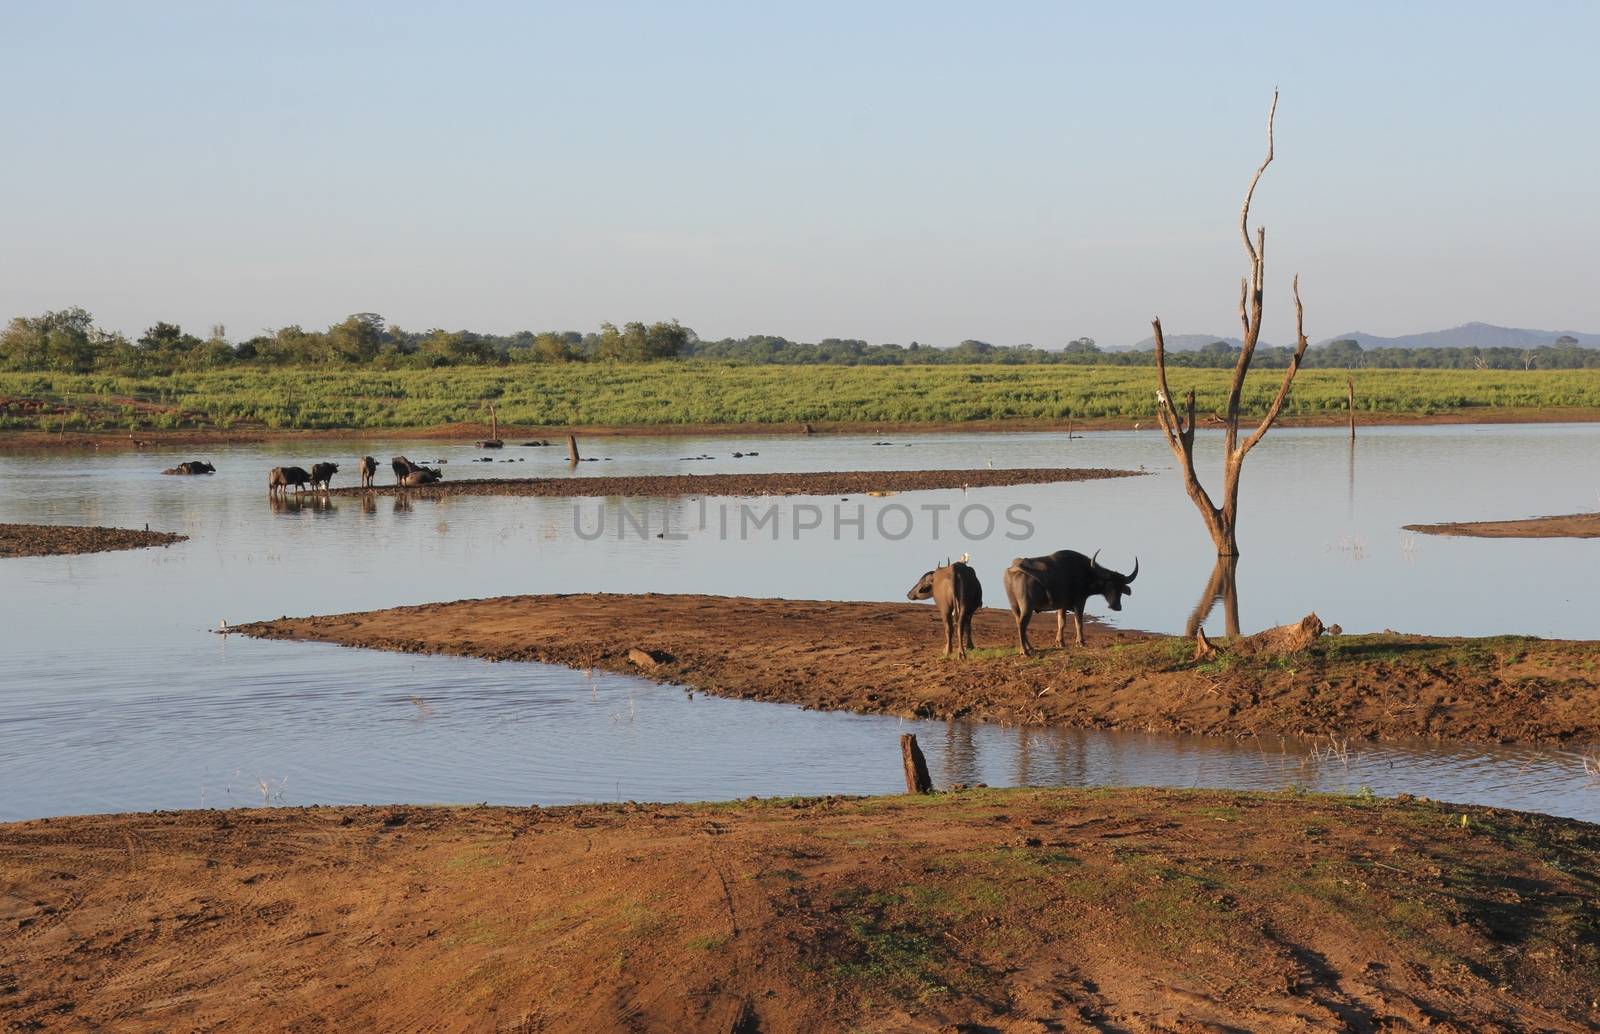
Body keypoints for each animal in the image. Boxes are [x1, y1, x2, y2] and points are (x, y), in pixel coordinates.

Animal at [998, 550, 1139, 656]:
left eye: (1121, 588)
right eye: (1110, 585)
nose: (1117, 606)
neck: (1085, 572)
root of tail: (1014, 568)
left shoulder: (1062, 605)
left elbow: (1062, 623)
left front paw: (1060, 642)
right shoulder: (1080, 601)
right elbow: (1079, 623)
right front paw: (1081, 642)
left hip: (1014, 606)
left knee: (1018, 623)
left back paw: (1030, 648)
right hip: (1027, 607)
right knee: (1022, 625)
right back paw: (1024, 651)